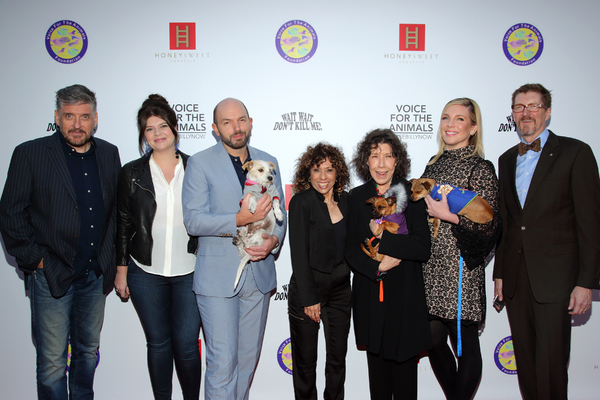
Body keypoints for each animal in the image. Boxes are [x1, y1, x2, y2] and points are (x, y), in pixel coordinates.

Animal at [232, 161, 284, 290]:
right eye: (260, 170)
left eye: (270, 170)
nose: (270, 178)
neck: (261, 187)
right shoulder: (245, 197)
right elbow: (251, 196)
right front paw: (253, 205)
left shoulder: (274, 193)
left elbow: (276, 201)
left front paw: (279, 214)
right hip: (246, 227)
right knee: (245, 242)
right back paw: (239, 237)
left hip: (260, 232)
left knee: (247, 244)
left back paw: (240, 238)